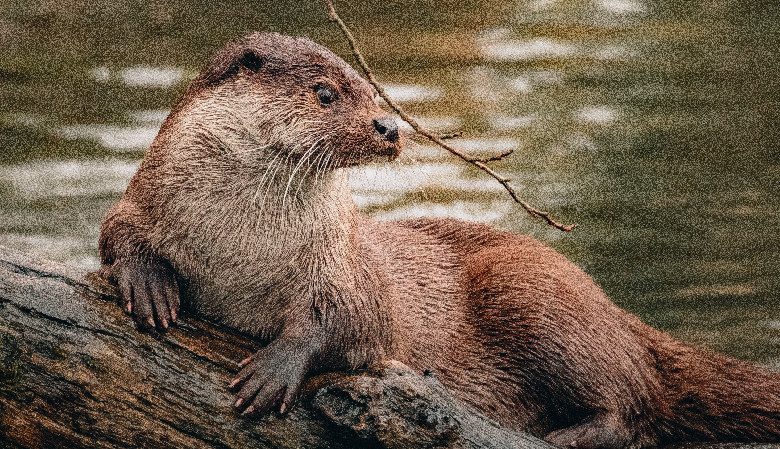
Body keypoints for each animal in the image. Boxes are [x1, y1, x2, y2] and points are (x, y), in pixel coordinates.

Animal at [100, 33, 776, 446]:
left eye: (371, 90)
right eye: (326, 93)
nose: (389, 126)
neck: (238, 247)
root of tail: (615, 311)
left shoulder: (347, 268)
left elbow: (352, 324)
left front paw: (273, 369)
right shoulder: (142, 200)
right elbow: (115, 232)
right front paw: (148, 284)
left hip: (536, 296)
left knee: (640, 405)